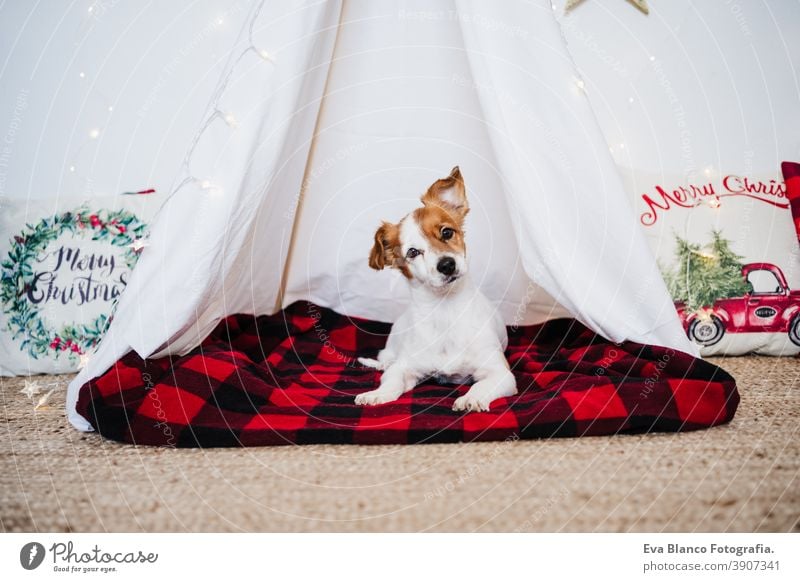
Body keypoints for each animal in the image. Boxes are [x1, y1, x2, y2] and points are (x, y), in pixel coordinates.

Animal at [354, 167, 516, 412]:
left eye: (447, 232)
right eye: (412, 252)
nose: (447, 264)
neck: (445, 309)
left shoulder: (501, 373)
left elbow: (481, 385)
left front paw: (470, 398)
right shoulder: (404, 367)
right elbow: (392, 380)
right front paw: (377, 394)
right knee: (386, 361)